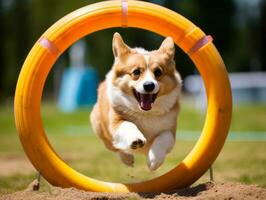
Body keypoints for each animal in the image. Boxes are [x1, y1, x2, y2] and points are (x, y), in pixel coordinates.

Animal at [90, 32, 182, 170]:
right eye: (136, 72)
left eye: (158, 72)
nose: (149, 85)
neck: (145, 113)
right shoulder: (116, 122)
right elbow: (128, 125)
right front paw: (136, 140)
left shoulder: (170, 130)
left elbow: (164, 137)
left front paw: (154, 160)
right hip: (100, 128)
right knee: (115, 147)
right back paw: (127, 158)